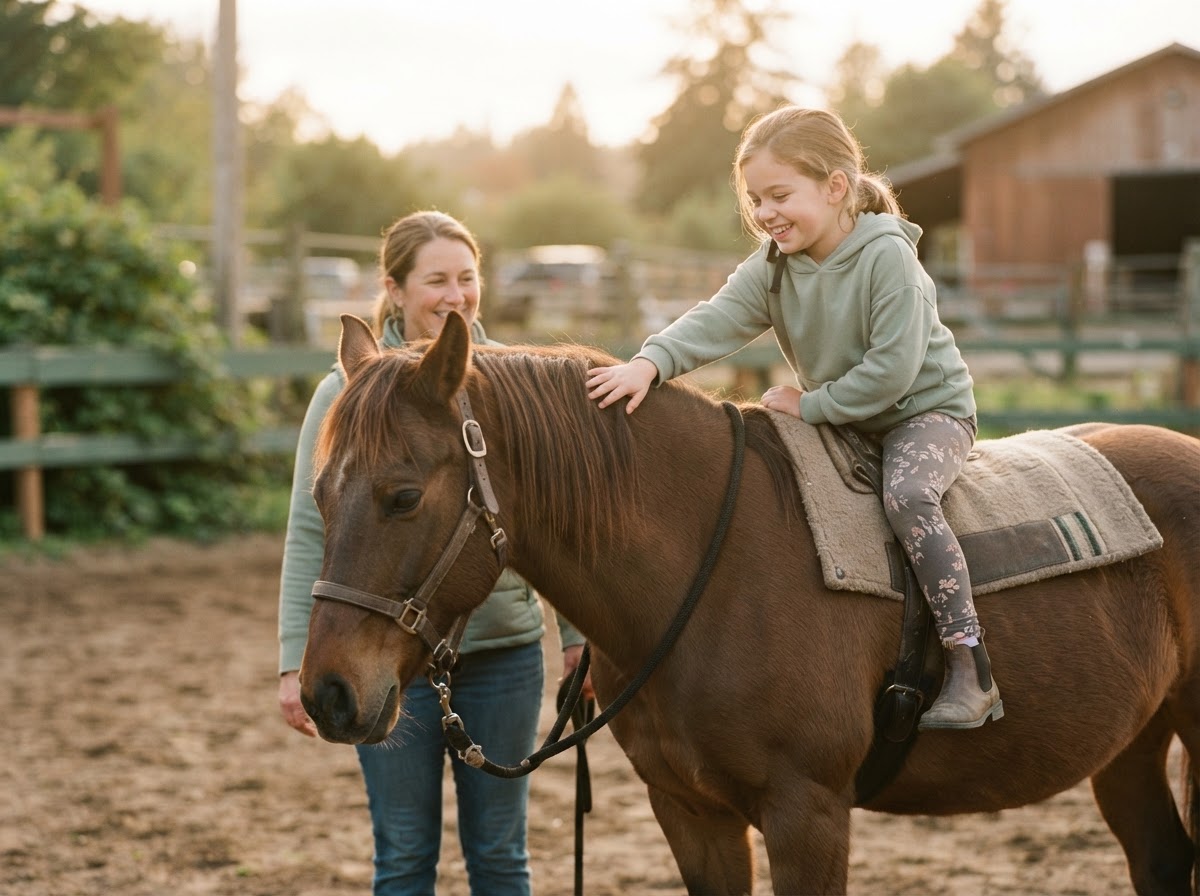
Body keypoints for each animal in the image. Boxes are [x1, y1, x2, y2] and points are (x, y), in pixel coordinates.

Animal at [299, 312, 1200, 895]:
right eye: (318, 492)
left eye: (403, 497)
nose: (327, 694)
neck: (715, 566)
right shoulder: (691, 813)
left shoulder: (809, 814)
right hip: (1131, 746)